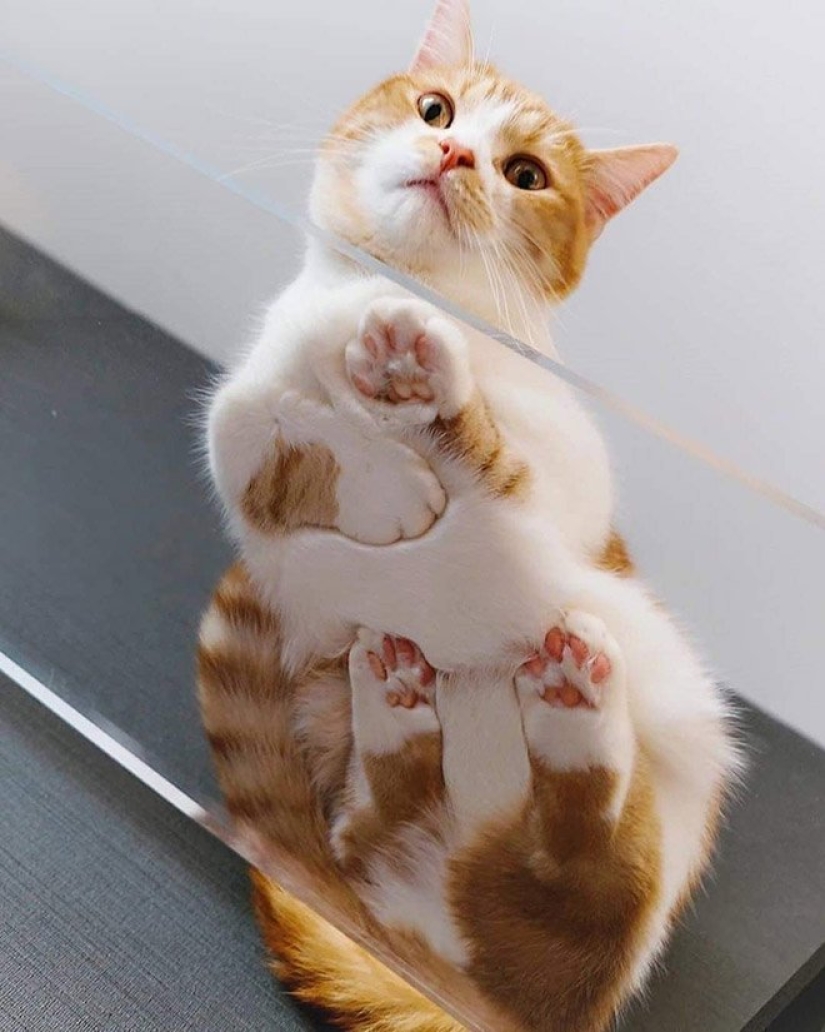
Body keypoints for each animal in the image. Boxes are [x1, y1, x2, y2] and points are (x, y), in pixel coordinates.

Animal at [195, 4, 743, 1027]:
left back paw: (568, 697)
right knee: (399, 824)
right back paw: (403, 702)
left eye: (524, 174)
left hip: (665, 712)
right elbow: (242, 421)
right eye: (435, 107)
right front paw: (380, 485)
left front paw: (409, 407)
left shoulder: (569, 481)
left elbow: (501, 460)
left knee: (596, 873)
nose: (452, 152)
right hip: (357, 769)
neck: (384, 294)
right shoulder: (258, 461)